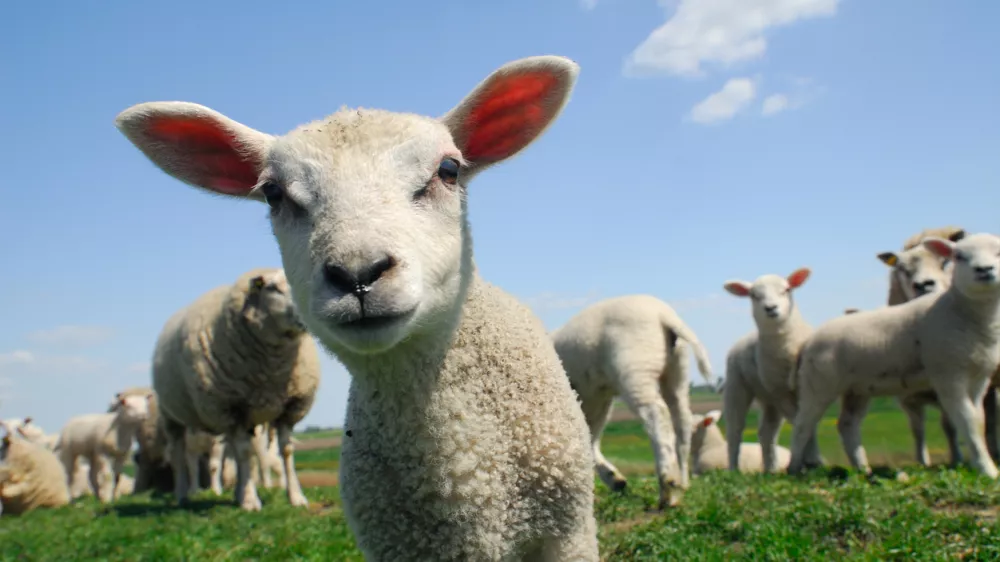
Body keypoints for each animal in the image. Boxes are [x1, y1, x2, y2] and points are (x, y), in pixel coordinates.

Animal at [144, 267, 319, 512]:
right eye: (272, 288)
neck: (273, 371)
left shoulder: (289, 407)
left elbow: (286, 451)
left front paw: (296, 497)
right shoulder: (233, 406)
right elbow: (245, 453)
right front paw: (251, 501)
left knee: (233, 453)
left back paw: (237, 493)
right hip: (173, 416)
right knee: (179, 456)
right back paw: (182, 495)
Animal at [551, 294, 714, 509]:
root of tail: (664, 315)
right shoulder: (595, 399)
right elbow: (588, 439)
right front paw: (613, 479)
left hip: (635, 367)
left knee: (656, 415)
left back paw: (668, 486)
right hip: (676, 371)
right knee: (682, 421)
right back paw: (681, 483)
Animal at [721, 268, 824, 474]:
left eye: (786, 289)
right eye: (754, 295)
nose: (770, 308)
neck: (787, 350)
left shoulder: (808, 388)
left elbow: (809, 421)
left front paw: (812, 460)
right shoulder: (781, 392)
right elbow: (800, 421)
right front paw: (810, 459)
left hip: (768, 397)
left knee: (766, 432)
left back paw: (771, 469)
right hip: (738, 385)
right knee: (735, 428)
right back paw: (734, 468)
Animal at [787, 233, 1000, 478]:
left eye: (999, 252)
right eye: (958, 256)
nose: (984, 270)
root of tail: (808, 341)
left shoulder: (980, 379)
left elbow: (978, 420)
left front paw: (981, 464)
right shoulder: (947, 374)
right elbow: (967, 420)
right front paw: (988, 470)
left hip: (856, 388)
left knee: (847, 424)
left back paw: (863, 468)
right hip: (818, 383)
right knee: (802, 425)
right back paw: (793, 469)